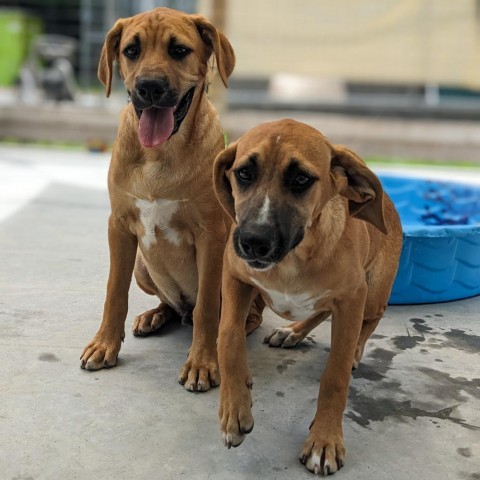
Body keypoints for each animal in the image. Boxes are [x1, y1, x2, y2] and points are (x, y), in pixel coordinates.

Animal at [80, 6, 264, 390]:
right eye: (131, 51)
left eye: (179, 50)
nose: (149, 87)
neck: (158, 154)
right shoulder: (118, 225)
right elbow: (113, 291)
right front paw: (105, 344)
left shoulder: (212, 235)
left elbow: (209, 305)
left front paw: (203, 362)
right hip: (142, 266)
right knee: (173, 306)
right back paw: (154, 316)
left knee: (235, 312)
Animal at [213, 119, 402, 472]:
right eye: (243, 173)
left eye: (301, 179)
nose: (253, 241)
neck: (292, 260)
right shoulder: (234, 276)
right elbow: (228, 337)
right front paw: (234, 409)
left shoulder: (352, 296)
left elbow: (335, 376)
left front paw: (325, 440)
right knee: (320, 310)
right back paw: (292, 332)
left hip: (372, 293)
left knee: (370, 319)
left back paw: (354, 349)